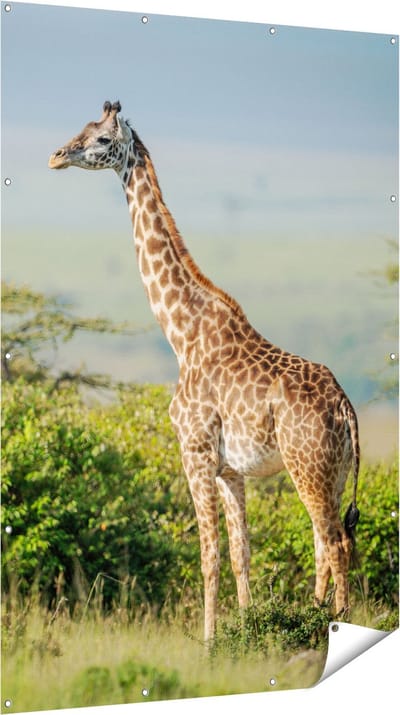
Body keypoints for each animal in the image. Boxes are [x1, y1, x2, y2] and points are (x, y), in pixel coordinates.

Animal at [49, 100, 360, 643]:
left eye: (102, 140)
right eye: (82, 129)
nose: (56, 156)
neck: (181, 333)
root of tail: (345, 407)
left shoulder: (193, 452)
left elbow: (208, 554)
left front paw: (211, 641)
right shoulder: (229, 469)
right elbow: (240, 555)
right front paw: (249, 628)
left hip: (307, 466)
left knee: (334, 542)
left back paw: (332, 622)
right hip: (334, 472)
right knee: (327, 542)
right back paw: (314, 613)